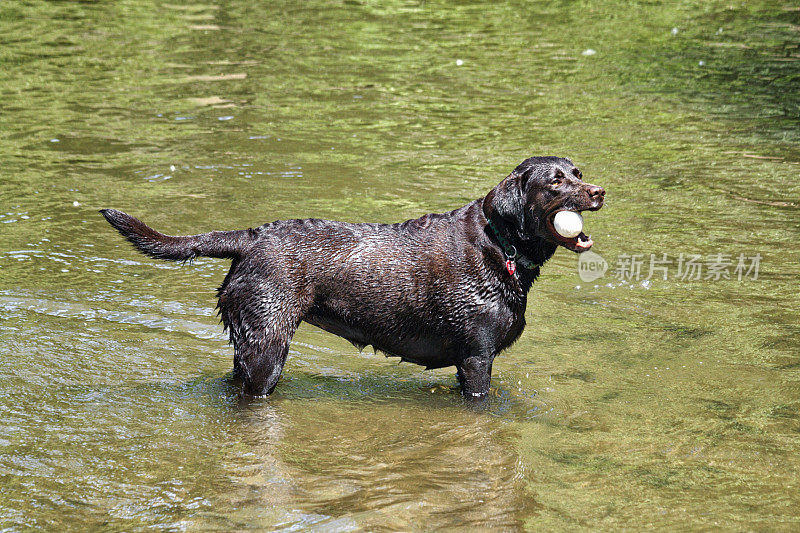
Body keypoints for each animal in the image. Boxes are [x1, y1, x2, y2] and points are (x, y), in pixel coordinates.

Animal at [100, 156, 604, 396]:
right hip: (268, 347)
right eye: (556, 182)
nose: (599, 190)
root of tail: (250, 237)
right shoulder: (477, 359)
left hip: (246, 343)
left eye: (578, 172)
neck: (502, 245)